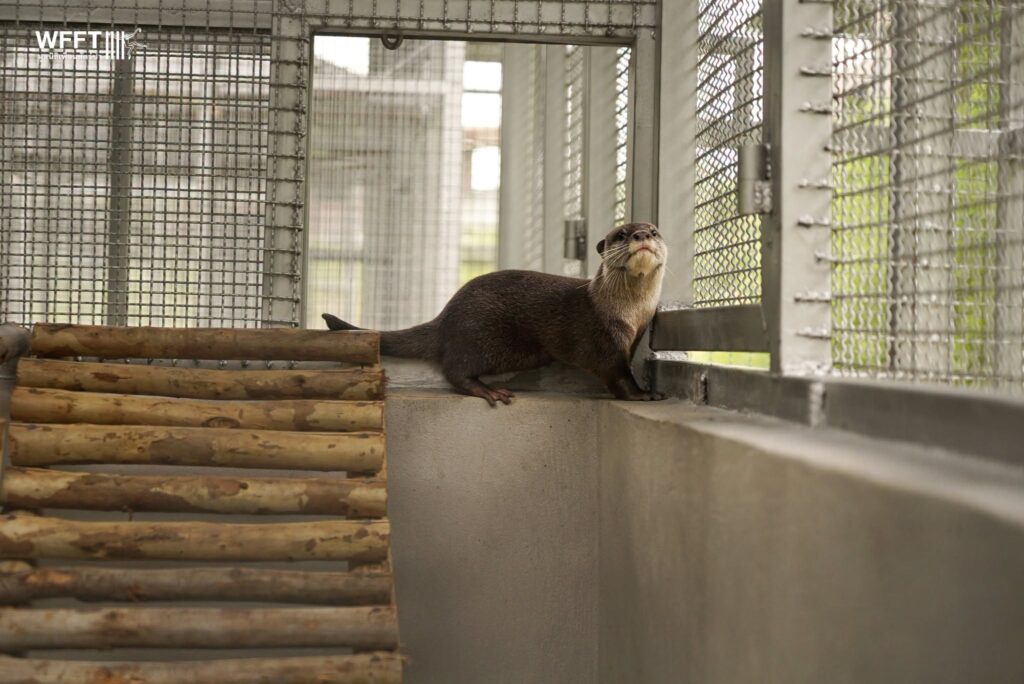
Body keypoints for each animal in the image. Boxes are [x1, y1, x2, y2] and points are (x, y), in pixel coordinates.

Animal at [323, 222, 667, 406]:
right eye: (621, 234)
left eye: (654, 230)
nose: (641, 235)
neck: (625, 312)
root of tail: (446, 315)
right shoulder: (603, 340)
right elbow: (617, 375)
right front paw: (644, 394)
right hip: (482, 339)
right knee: (454, 369)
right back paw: (485, 389)